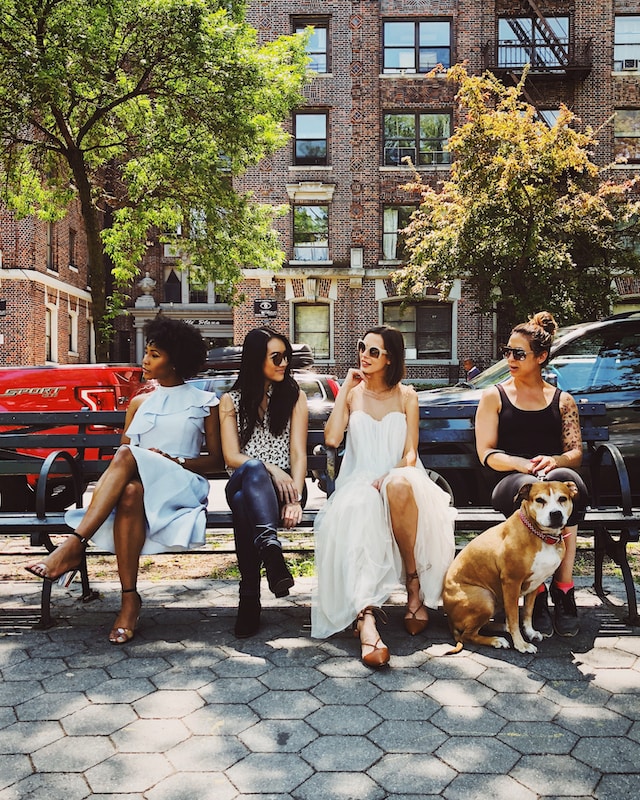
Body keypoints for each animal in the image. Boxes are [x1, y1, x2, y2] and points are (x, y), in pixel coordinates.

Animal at [442, 478, 576, 652]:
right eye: (540, 500)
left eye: (562, 499)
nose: (556, 514)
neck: (540, 535)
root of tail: (449, 620)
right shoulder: (512, 583)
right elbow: (514, 618)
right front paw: (521, 644)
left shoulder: (535, 583)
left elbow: (527, 612)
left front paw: (530, 632)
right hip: (486, 598)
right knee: (468, 635)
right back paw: (496, 640)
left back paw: (501, 628)